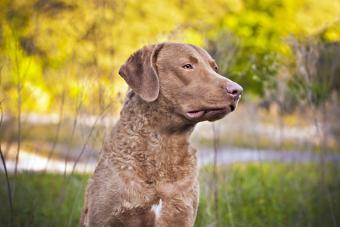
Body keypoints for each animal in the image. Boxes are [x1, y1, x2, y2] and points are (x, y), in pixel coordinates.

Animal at [80, 41, 242, 226]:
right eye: (187, 66)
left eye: (215, 68)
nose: (238, 90)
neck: (164, 144)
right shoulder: (104, 217)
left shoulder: (181, 214)